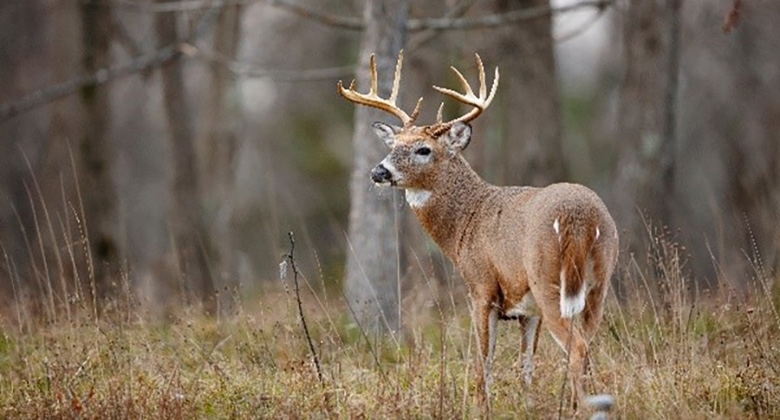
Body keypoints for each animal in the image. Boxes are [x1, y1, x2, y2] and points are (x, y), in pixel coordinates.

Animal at [338, 51, 619, 412]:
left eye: (423, 149)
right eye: (394, 144)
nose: (378, 171)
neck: (467, 222)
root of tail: (579, 217)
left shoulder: (481, 287)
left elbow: (484, 358)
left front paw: (480, 405)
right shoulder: (527, 309)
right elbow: (525, 364)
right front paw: (525, 405)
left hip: (549, 280)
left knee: (578, 347)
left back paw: (580, 408)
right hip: (599, 282)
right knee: (588, 343)